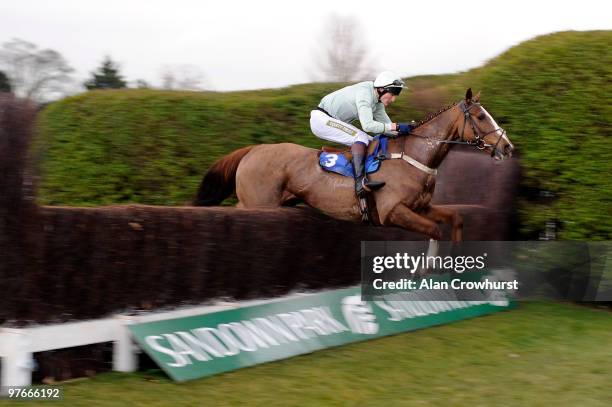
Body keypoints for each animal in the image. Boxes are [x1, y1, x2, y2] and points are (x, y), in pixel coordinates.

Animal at [195, 89, 512, 242]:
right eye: (481, 117)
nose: (507, 147)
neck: (412, 157)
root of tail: (254, 149)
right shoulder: (392, 212)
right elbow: (433, 230)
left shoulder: (420, 207)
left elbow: (455, 218)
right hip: (260, 202)